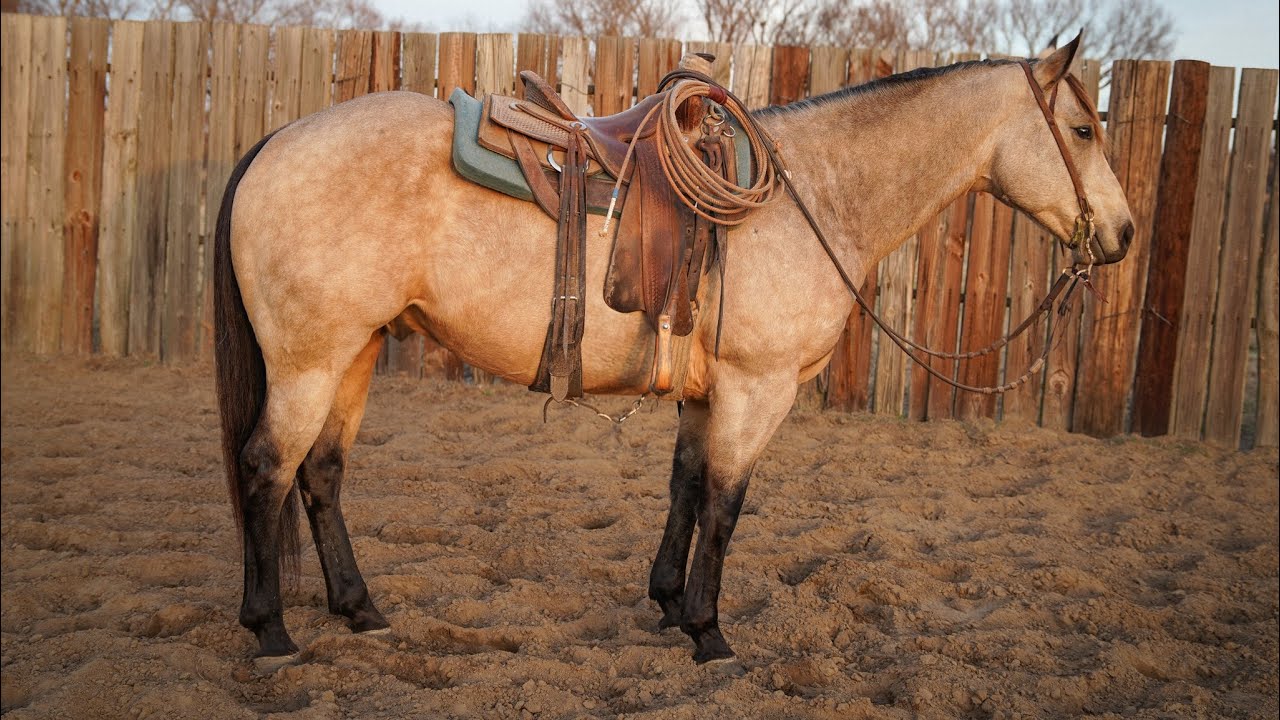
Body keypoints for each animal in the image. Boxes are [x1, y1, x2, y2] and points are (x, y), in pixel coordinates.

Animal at [214, 35, 1134, 669]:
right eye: (1083, 128)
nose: (1123, 233)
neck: (813, 193)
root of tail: (273, 143)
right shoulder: (758, 390)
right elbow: (725, 506)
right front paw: (709, 631)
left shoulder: (705, 390)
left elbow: (686, 487)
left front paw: (663, 603)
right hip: (309, 361)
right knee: (268, 467)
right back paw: (270, 629)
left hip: (357, 352)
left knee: (322, 473)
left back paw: (359, 609)